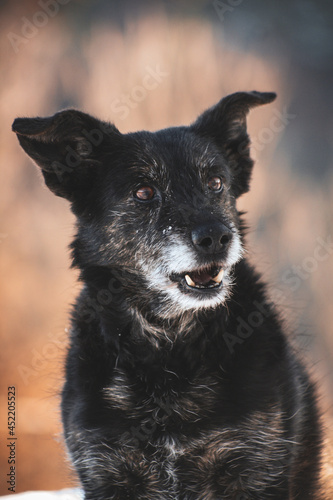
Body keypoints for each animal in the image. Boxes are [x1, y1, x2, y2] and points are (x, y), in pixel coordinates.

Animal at [12, 92, 322, 498]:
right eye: (144, 192)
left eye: (216, 182)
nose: (217, 237)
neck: (169, 343)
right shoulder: (108, 471)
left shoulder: (256, 468)